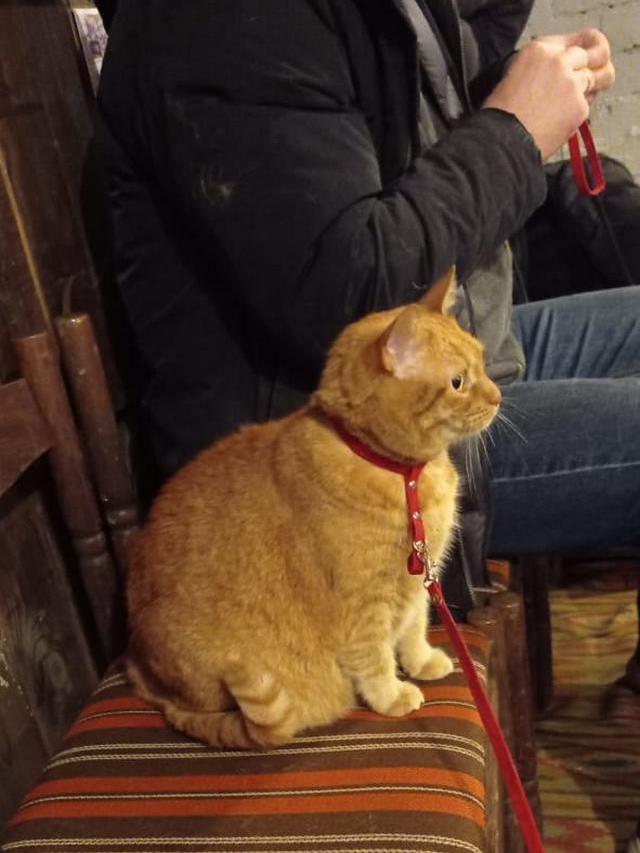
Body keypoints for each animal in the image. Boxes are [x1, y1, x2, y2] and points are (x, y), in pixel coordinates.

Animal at [126, 267, 501, 749]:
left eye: (482, 360)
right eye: (458, 382)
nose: (498, 396)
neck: (404, 474)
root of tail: (143, 674)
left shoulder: (420, 578)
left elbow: (415, 625)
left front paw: (421, 661)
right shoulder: (364, 601)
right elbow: (375, 657)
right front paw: (392, 695)